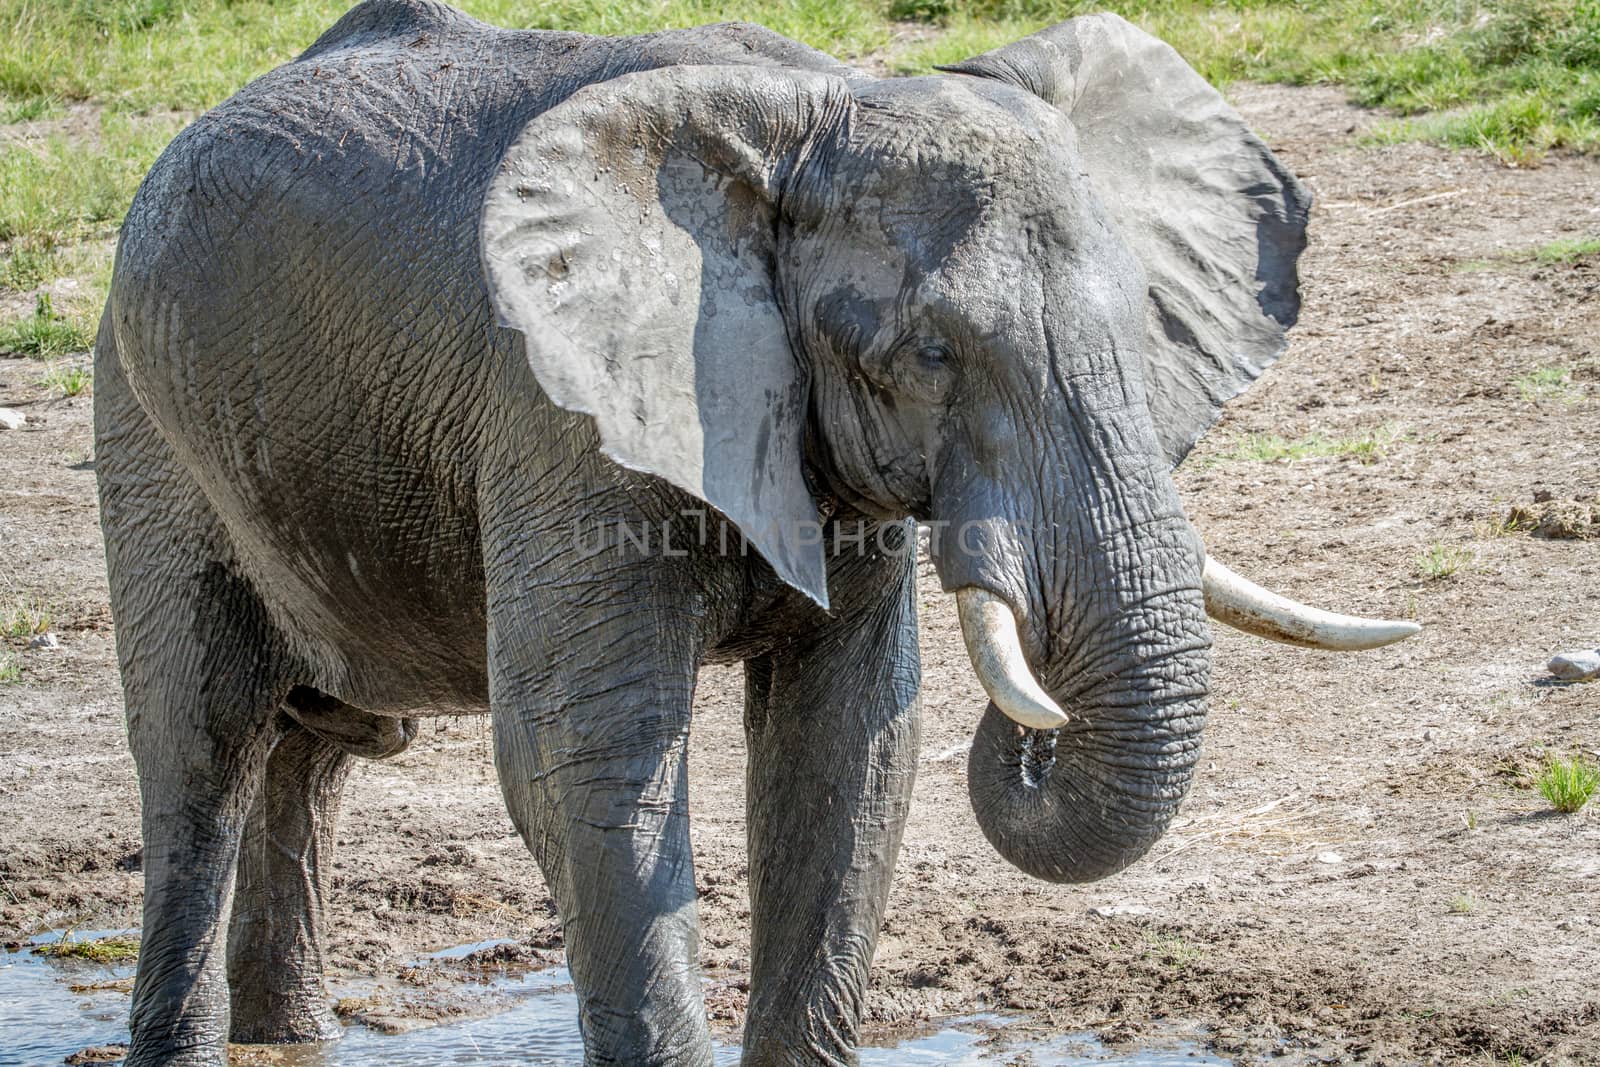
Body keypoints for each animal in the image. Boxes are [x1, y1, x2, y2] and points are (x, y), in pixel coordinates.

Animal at [93, 0, 1414, 1062]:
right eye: (927, 354)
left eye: (1141, 322)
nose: (1035, 728)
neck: (820, 111)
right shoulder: (557, 415)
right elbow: (586, 750)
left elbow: (851, 743)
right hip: (143, 417)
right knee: (205, 746)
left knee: (317, 748)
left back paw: (286, 1032)